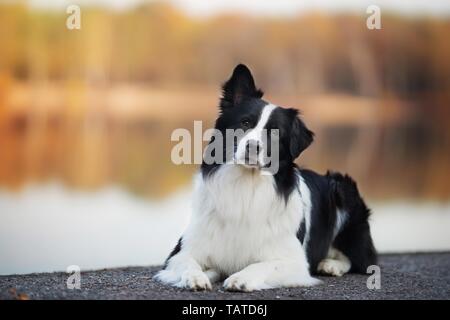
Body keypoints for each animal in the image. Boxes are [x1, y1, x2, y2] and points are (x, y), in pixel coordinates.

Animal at [155, 63, 376, 292]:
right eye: (245, 123)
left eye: (276, 133)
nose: (253, 146)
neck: (246, 184)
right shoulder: (181, 252)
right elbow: (188, 263)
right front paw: (196, 277)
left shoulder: (294, 261)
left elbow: (262, 265)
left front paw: (240, 278)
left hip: (343, 190)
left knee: (360, 259)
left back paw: (331, 265)